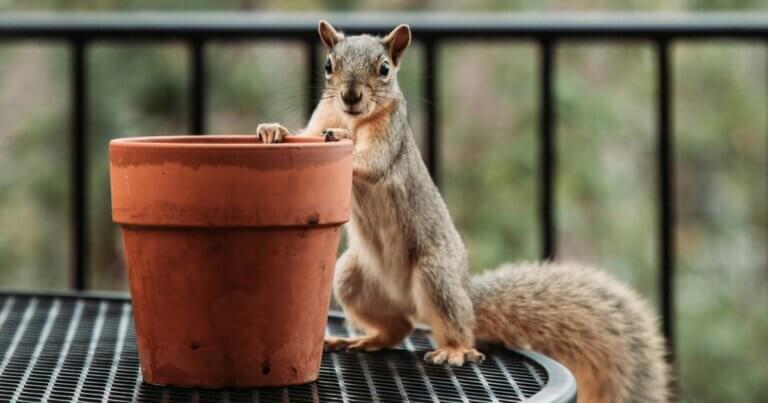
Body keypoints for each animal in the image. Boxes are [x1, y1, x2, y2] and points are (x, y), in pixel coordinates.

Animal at [256, 20, 671, 403]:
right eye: (329, 65)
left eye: (385, 68)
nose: (350, 95)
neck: (354, 118)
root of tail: (464, 292)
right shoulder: (324, 115)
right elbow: (307, 134)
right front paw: (273, 130)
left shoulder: (390, 136)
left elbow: (370, 162)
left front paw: (340, 139)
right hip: (353, 277)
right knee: (399, 328)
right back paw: (365, 339)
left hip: (435, 275)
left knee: (458, 327)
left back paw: (454, 350)